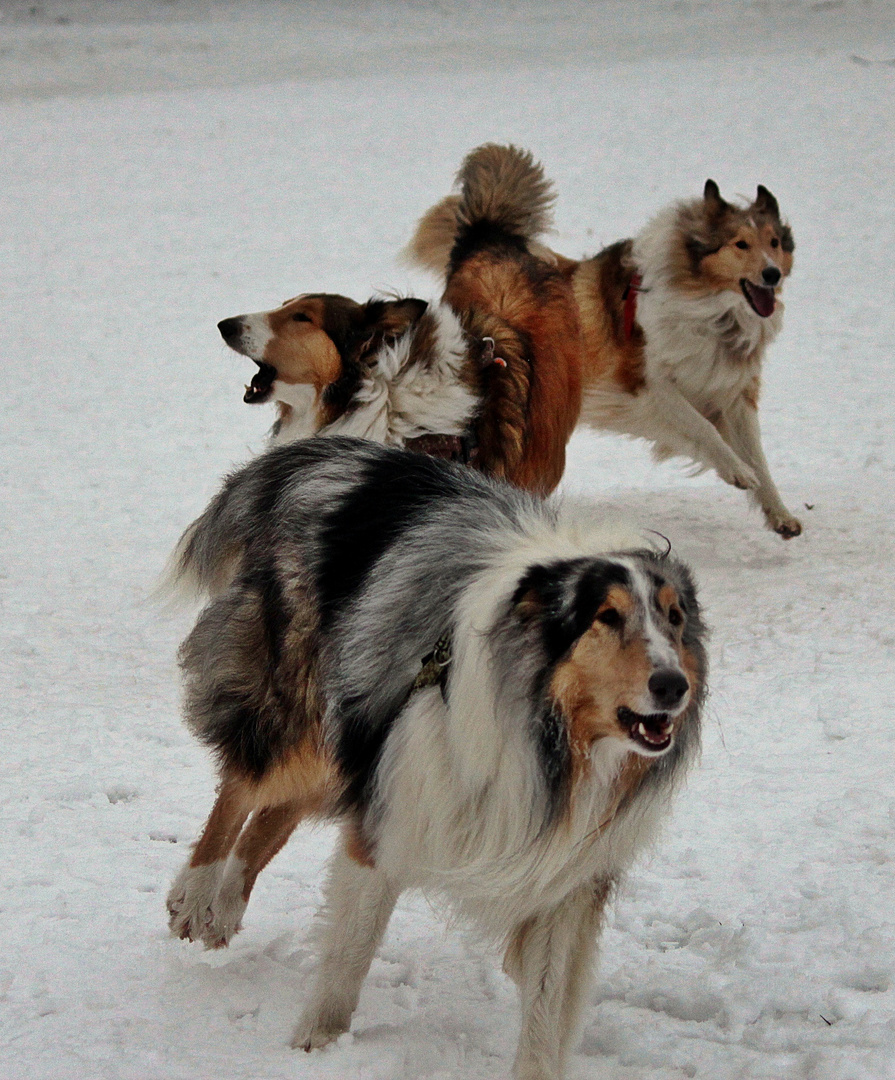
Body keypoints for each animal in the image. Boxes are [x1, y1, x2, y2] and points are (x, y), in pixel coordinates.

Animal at [161, 438, 703, 1080]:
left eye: (674, 618)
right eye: (607, 617)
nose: (673, 686)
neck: (559, 743)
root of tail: (323, 454)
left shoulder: (566, 871)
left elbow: (547, 1004)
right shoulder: (394, 807)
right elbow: (349, 955)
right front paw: (316, 1047)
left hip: (348, 733)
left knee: (273, 815)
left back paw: (223, 906)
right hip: (301, 712)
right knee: (244, 784)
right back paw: (196, 898)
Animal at [412, 150, 803, 537]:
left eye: (774, 243)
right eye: (741, 244)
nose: (772, 274)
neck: (712, 310)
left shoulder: (732, 392)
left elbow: (759, 458)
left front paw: (779, 513)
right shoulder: (648, 387)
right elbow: (702, 428)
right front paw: (736, 470)